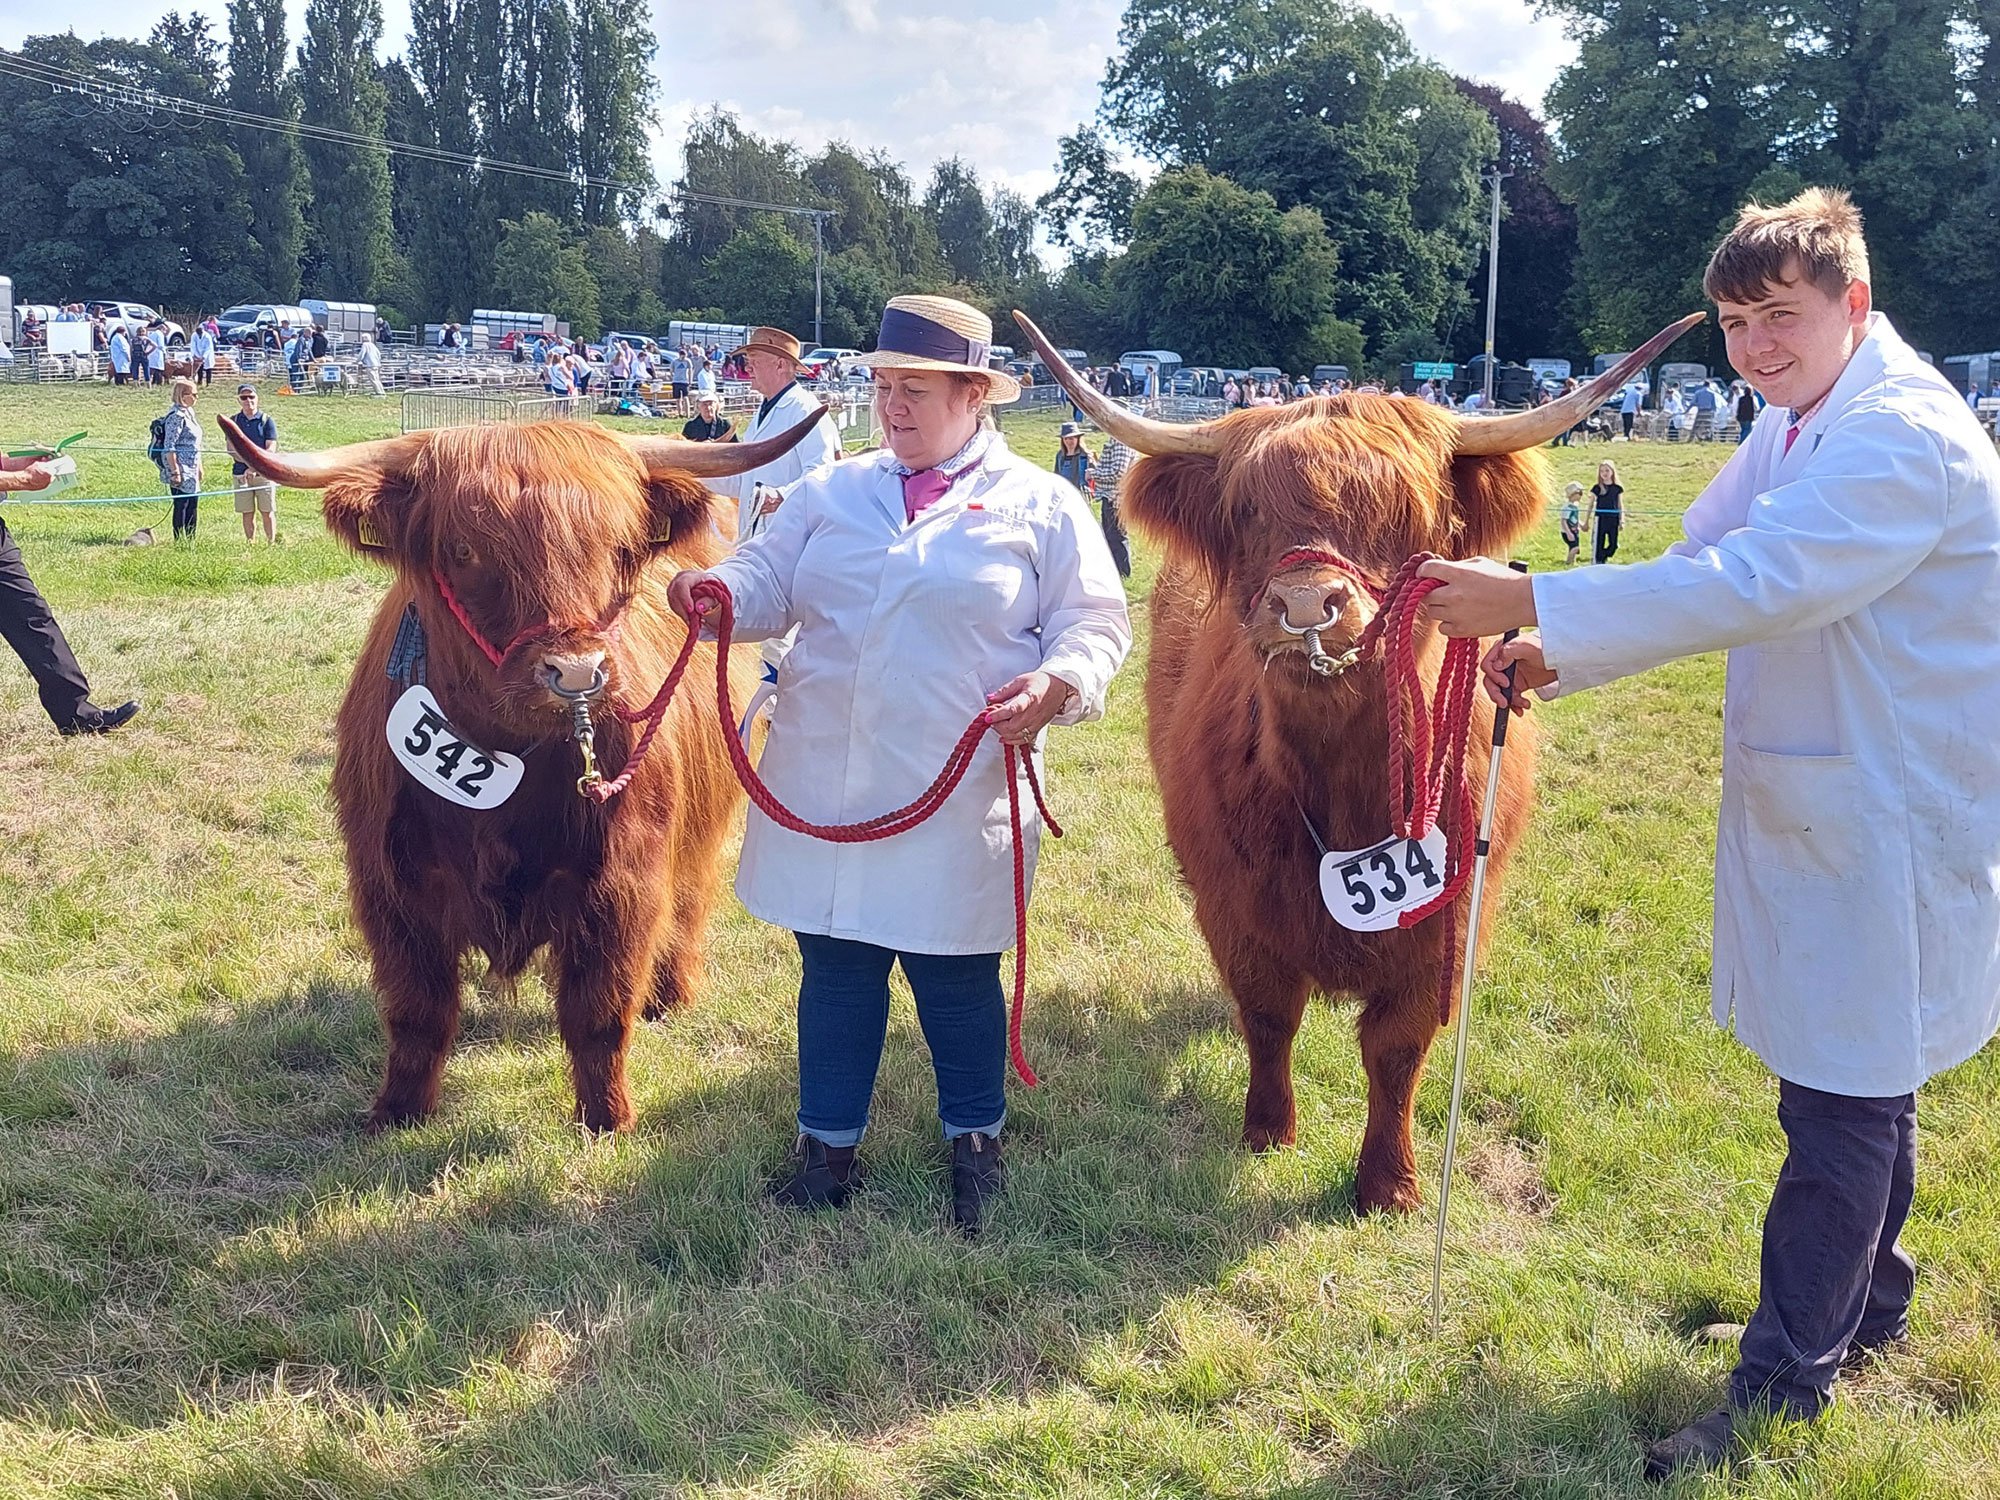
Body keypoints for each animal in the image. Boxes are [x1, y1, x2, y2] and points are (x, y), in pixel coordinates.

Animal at [213, 408, 820, 1128]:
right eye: (464, 551)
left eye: (620, 550)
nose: (578, 673)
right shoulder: (389, 883)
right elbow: (417, 1011)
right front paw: (397, 1111)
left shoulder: (624, 878)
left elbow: (598, 1009)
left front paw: (607, 1118)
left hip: (704, 825)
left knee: (690, 901)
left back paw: (669, 995)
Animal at [1024, 312, 1696, 1216]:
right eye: (1247, 513)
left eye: (1406, 513)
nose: (1307, 606)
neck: (1341, 785)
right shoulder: (1235, 904)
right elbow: (1268, 1015)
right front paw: (1268, 1130)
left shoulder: (1447, 923)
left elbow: (1397, 1046)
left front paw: (1391, 1184)